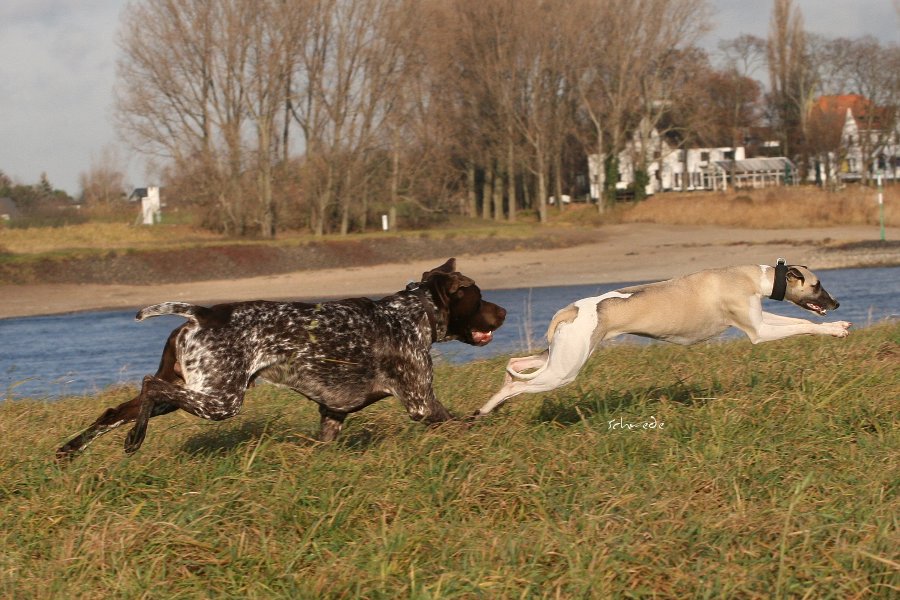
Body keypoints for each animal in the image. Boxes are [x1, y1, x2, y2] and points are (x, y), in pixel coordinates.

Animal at [56, 258, 506, 460]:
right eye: (479, 296)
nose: (503, 312)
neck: (412, 315)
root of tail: (202, 313)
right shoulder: (422, 404)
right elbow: (467, 422)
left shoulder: (332, 415)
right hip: (221, 400)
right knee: (149, 387)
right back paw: (134, 440)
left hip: (193, 391)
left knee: (115, 410)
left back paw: (70, 449)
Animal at [478, 262, 852, 418]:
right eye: (818, 285)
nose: (836, 304)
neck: (750, 276)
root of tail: (568, 310)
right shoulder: (758, 331)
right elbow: (803, 325)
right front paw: (835, 329)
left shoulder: (757, 319)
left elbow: (795, 320)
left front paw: (837, 325)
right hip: (563, 371)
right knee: (519, 383)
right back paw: (490, 407)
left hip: (559, 354)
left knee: (515, 366)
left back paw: (490, 404)